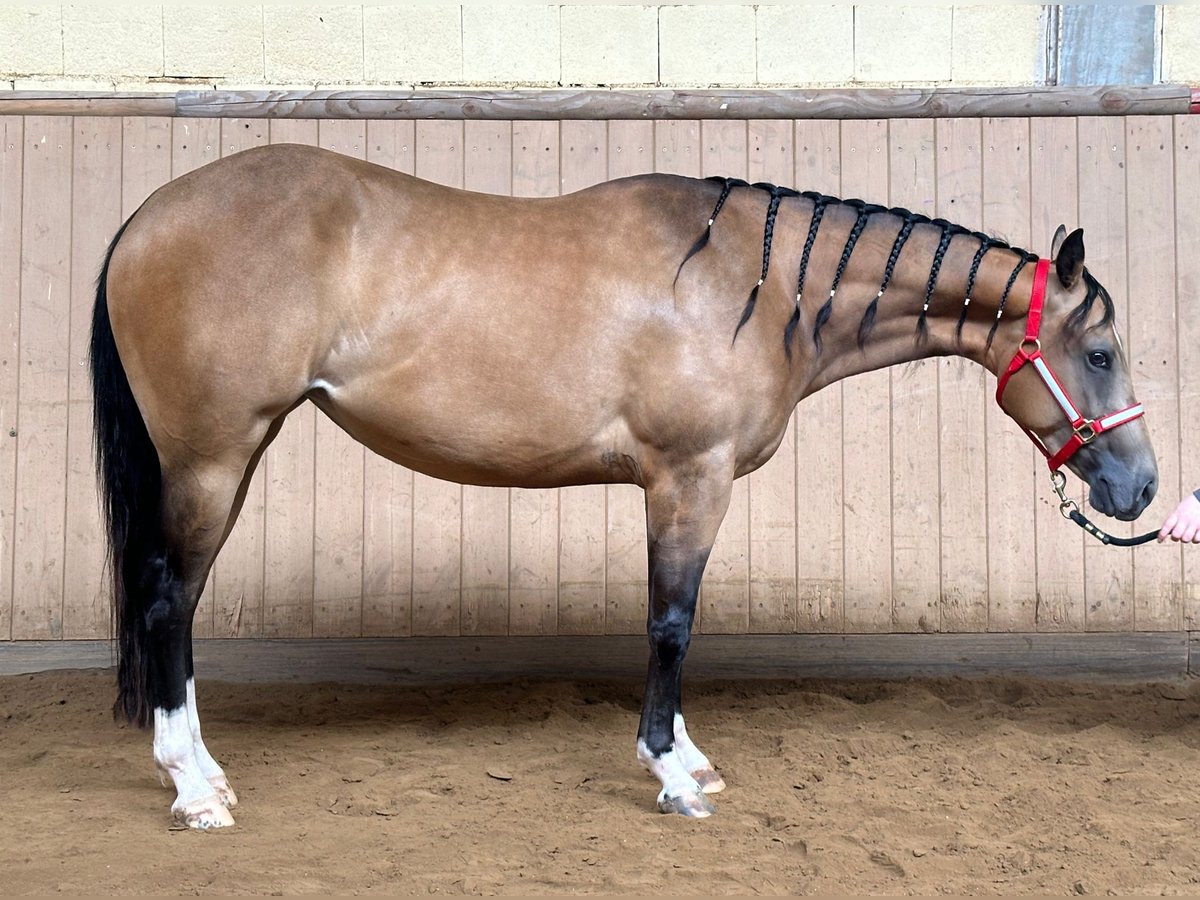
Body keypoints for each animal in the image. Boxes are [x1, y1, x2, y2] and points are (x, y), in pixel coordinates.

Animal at [88, 142, 1156, 830]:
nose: (1141, 489)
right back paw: (194, 788)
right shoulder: (691, 477)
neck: (752, 285)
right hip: (213, 457)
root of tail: (148, 216)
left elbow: (673, 621)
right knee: (167, 599)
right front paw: (671, 774)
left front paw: (687, 757)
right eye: (1101, 352)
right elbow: (671, 622)